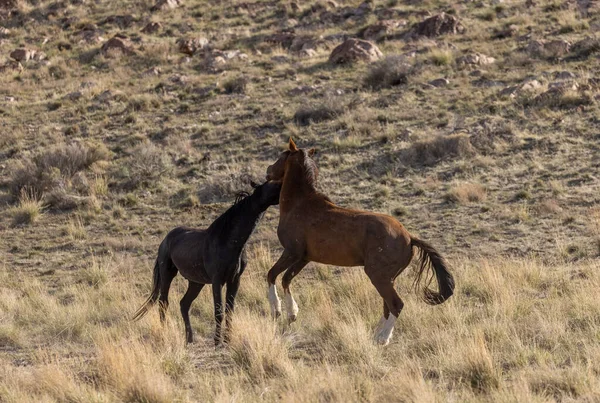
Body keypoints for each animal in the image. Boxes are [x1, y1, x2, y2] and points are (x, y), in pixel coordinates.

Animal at [132, 181, 282, 346]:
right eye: (271, 184)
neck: (228, 241)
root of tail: (165, 240)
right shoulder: (217, 281)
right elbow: (219, 311)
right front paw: (217, 342)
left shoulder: (234, 280)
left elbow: (229, 310)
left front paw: (228, 340)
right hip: (167, 275)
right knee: (163, 302)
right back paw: (165, 334)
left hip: (196, 283)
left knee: (184, 304)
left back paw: (189, 339)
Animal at [264, 140, 452, 348]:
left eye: (282, 155)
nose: (268, 171)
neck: (299, 205)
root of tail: (410, 238)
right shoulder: (304, 258)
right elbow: (286, 278)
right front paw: (292, 314)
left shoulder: (291, 252)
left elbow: (272, 274)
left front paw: (277, 311)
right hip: (388, 277)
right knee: (387, 305)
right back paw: (377, 336)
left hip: (378, 275)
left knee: (396, 304)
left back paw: (383, 339)